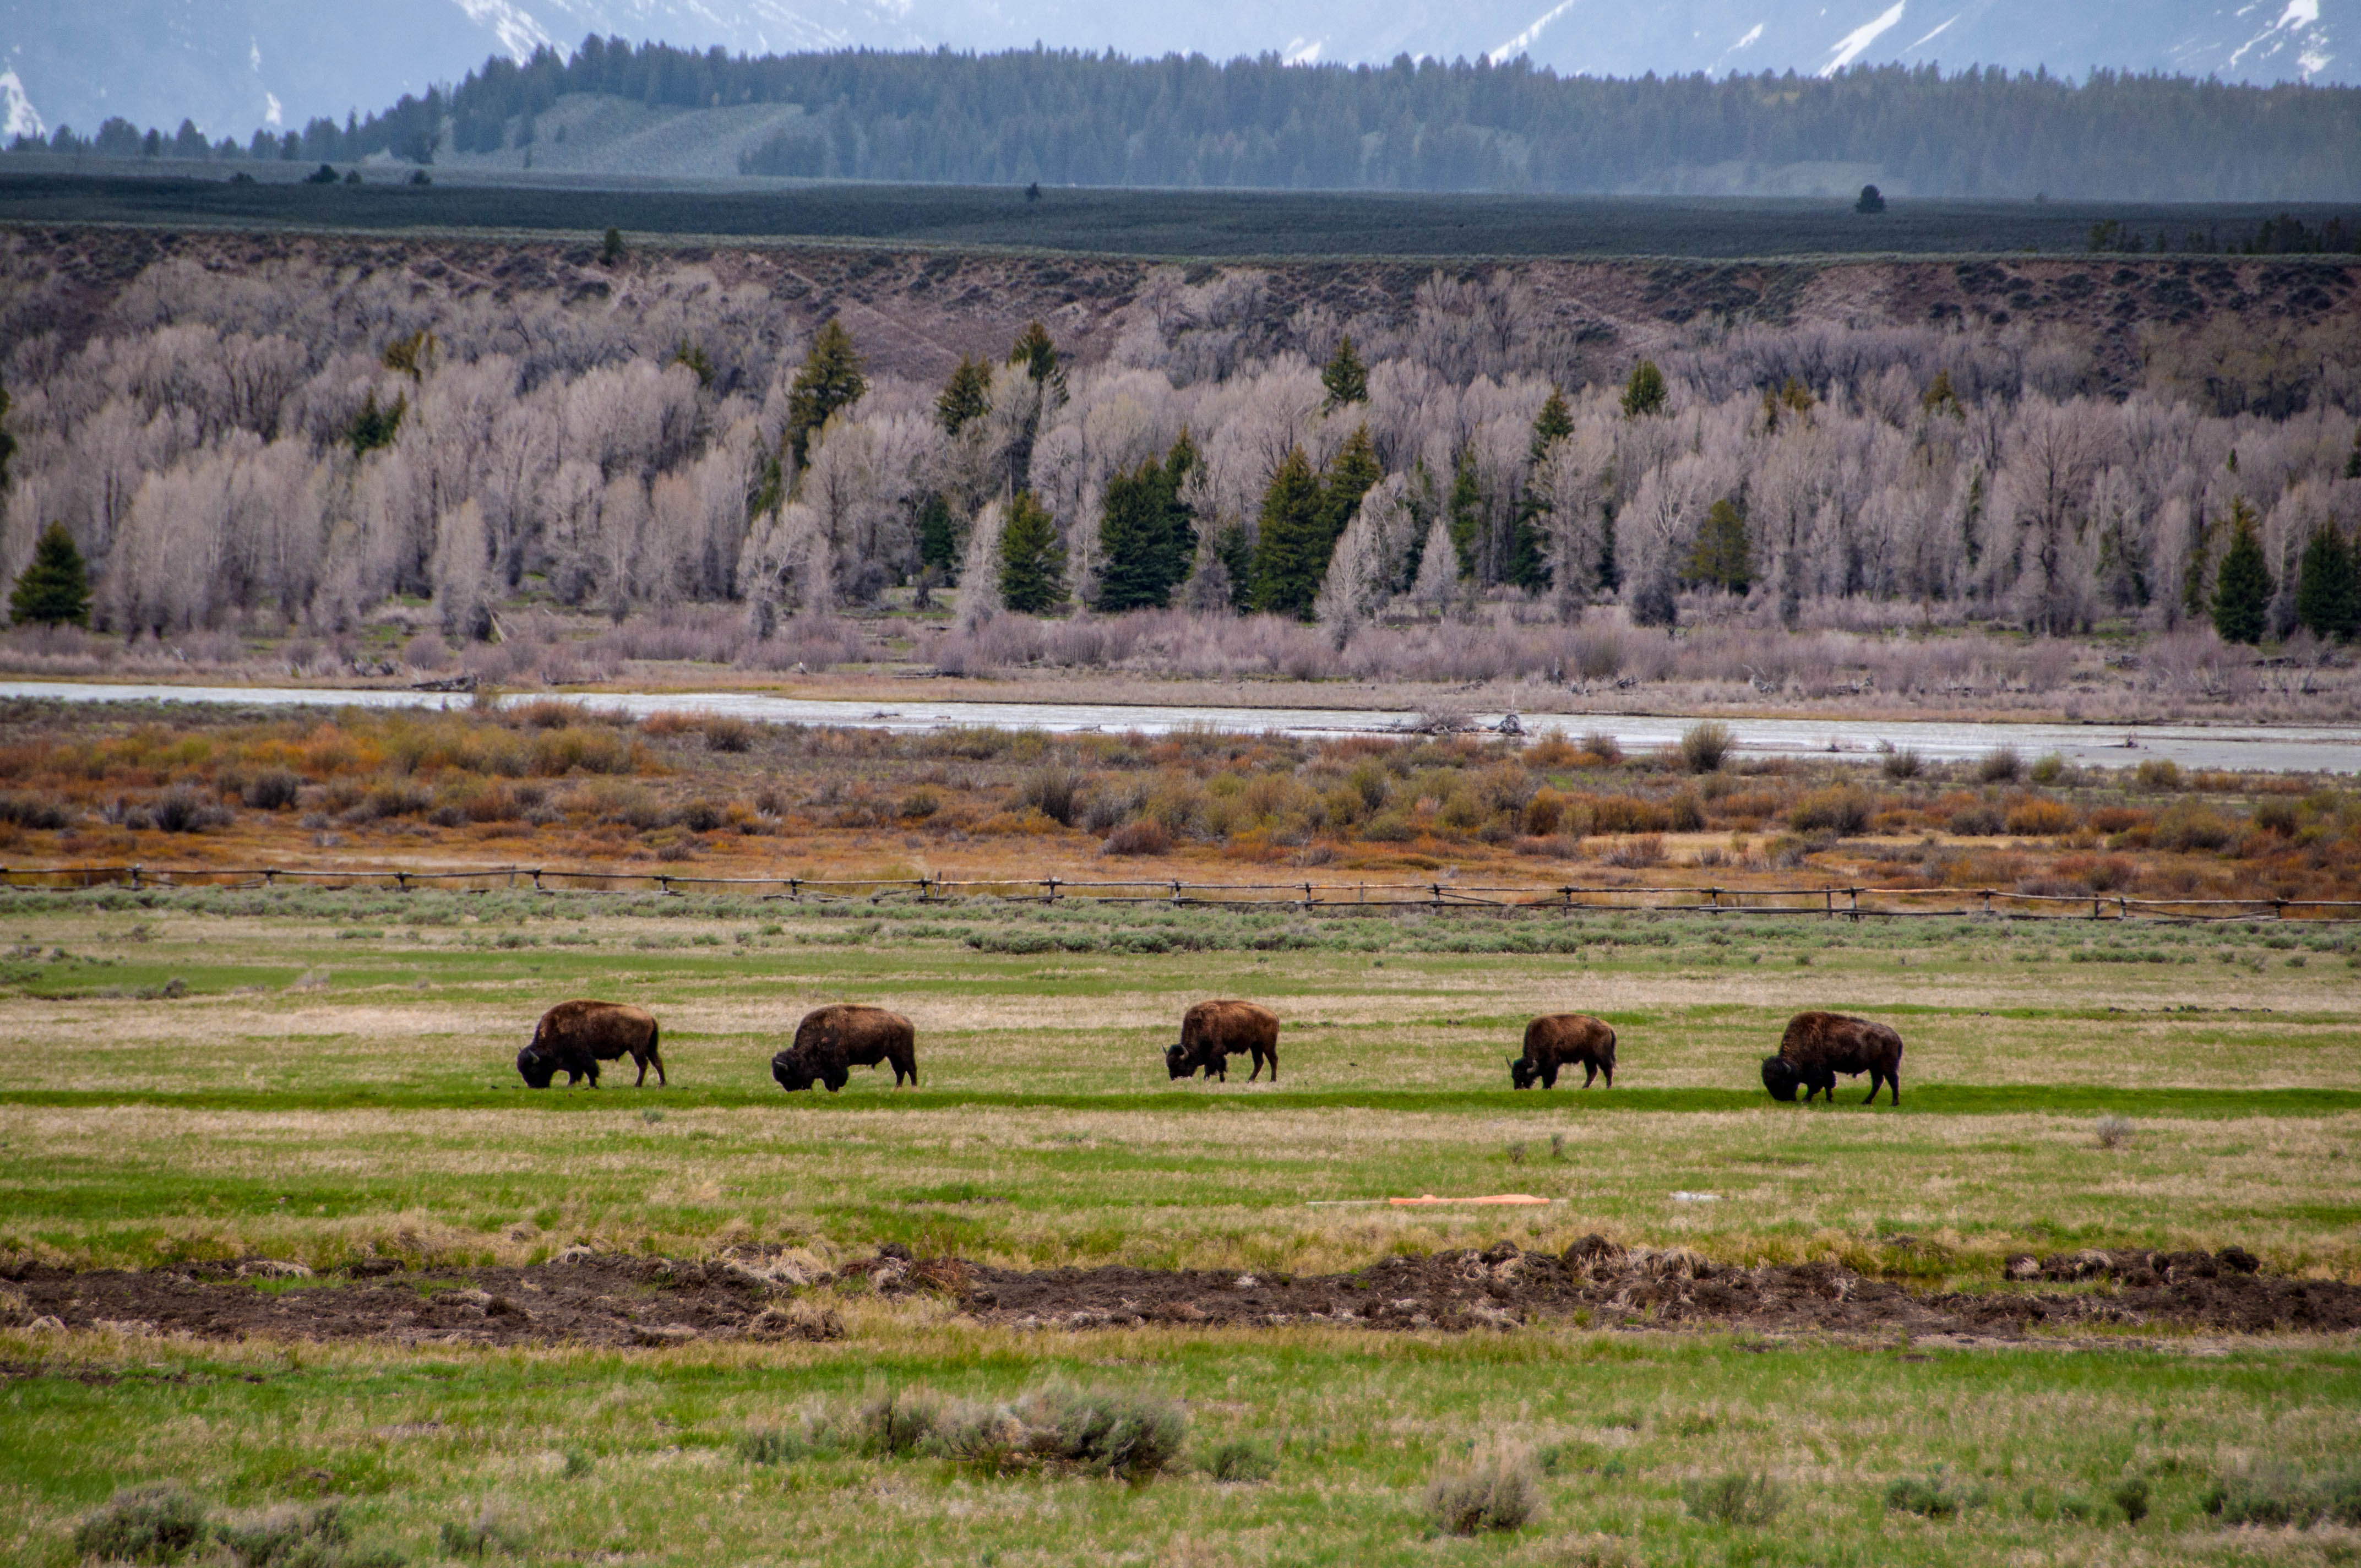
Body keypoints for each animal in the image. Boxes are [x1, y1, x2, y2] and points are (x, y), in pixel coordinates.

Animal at [517, 1006, 666, 1091]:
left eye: (533, 1069)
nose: (533, 1086)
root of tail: (649, 1017)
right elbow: (576, 1072)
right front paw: (571, 1085)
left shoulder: (583, 1056)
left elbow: (589, 1070)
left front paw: (592, 1085)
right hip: (650, 1048)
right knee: (657, 1062)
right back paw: (662, 1084)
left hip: (637, 1050)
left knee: (643, 1065)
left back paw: (638, 1085)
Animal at [774, 1006, 921, 1091]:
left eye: (789, 1075)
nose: (791, 1090)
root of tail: (907, 1021)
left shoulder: (837, 1067)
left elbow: (836, 1081)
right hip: (893, 1056)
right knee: (900, 1071)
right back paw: (897, 1089)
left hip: (904, 1054)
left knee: (911, 1069)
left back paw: (913, 1089)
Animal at [1157, 997, 1275, 1086]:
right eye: (1169, 1065)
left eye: (1180, 1065)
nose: (1173, 1078)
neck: (1199, 1026)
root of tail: (1274, 1015)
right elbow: (1214, 1067)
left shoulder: (1216, 1052)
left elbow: (1215, 1067)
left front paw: (1216, 1080)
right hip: (1255, 1047)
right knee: (1259, 1062)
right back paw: (1249, 1081)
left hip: (1267, 1045)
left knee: (1273, 1059)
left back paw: (1272, 1080)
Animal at [1502, 1015, 1614, 1091]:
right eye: (1513, 1076)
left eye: (1523, 1076)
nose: (1517, 1088)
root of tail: (1608, 1027)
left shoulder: (1551, 1063)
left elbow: (1548, 1076)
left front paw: (1545, 1088)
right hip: (1589, 1058)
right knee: (1592, 1072)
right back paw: (1584, 1087)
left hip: (1600, 1056)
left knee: (1607, 1069)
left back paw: (1608, 1087)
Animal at [1766, 1010, 1907, 1109]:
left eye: (1782, 1081)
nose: (1780, 1098)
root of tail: (1895, 1036)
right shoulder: (1827, 1070)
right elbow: (1828, 1084)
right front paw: (1829, 1099)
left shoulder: (1818, 1071)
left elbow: (1815, 1085)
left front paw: (1805, 1100)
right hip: (1874, 1068)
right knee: (1878, 1082)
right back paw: (1866, 1102)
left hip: (1887, 1067)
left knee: (1893, 1081)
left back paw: (1894, 1103)